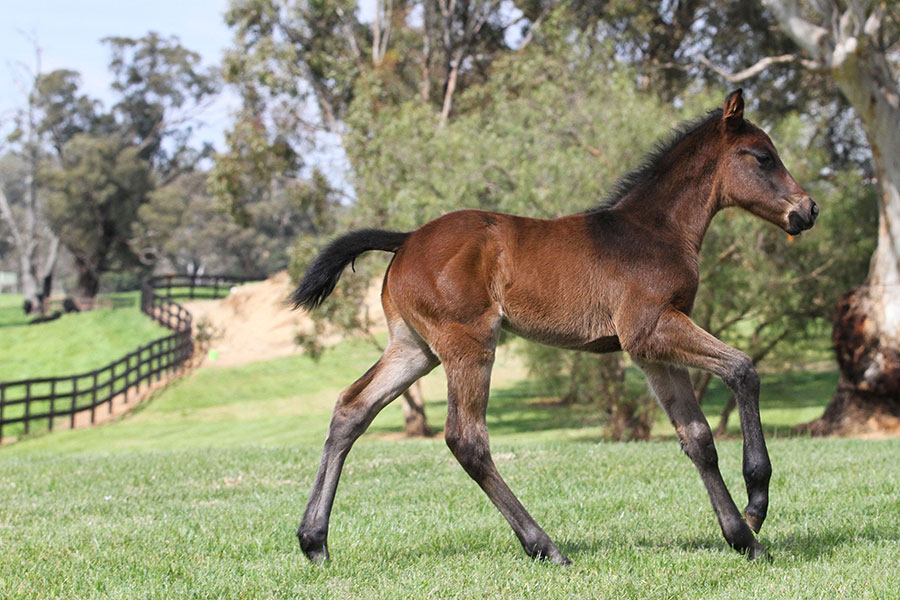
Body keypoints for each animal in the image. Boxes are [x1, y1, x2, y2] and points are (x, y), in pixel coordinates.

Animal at [294, 89, 816, 564]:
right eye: (763, 157)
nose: (807, 210)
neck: (655, 231)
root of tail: (405, 240)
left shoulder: (650, 351)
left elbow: (698, 438)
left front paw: (742, 538)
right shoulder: (652, 328)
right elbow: (743, 369)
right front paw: (755, 506)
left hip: (414, 348)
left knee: (352, 409)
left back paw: (314, 542)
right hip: (469, 344)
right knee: (466, 438)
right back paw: (544, 546)